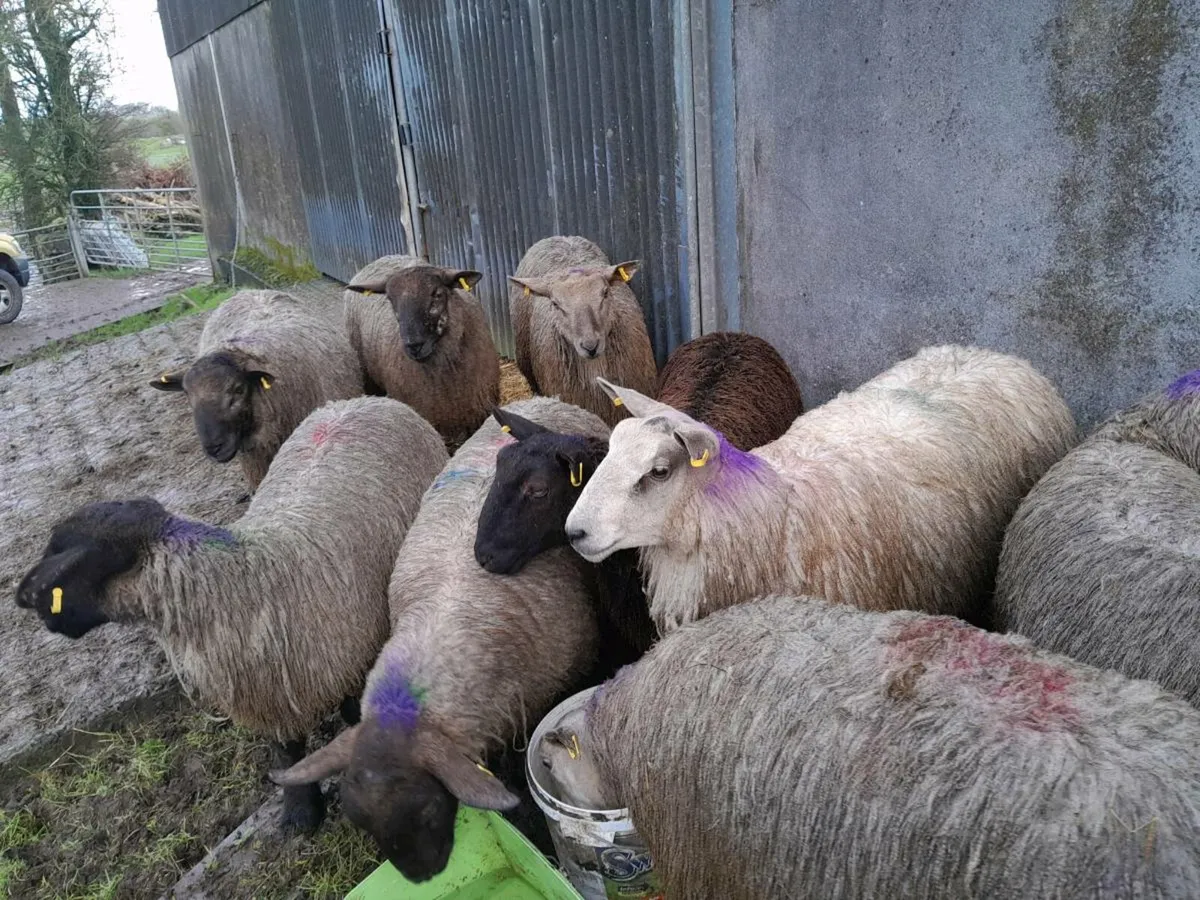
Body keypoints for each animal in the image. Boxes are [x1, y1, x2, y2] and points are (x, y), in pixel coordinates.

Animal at [15, 397, 448, 833]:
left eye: (76, 556)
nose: (24, 598)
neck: (243, 577)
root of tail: (358, 401)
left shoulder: (353, 653)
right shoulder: (266, 691)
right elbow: (286, 751)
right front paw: (300, 814)